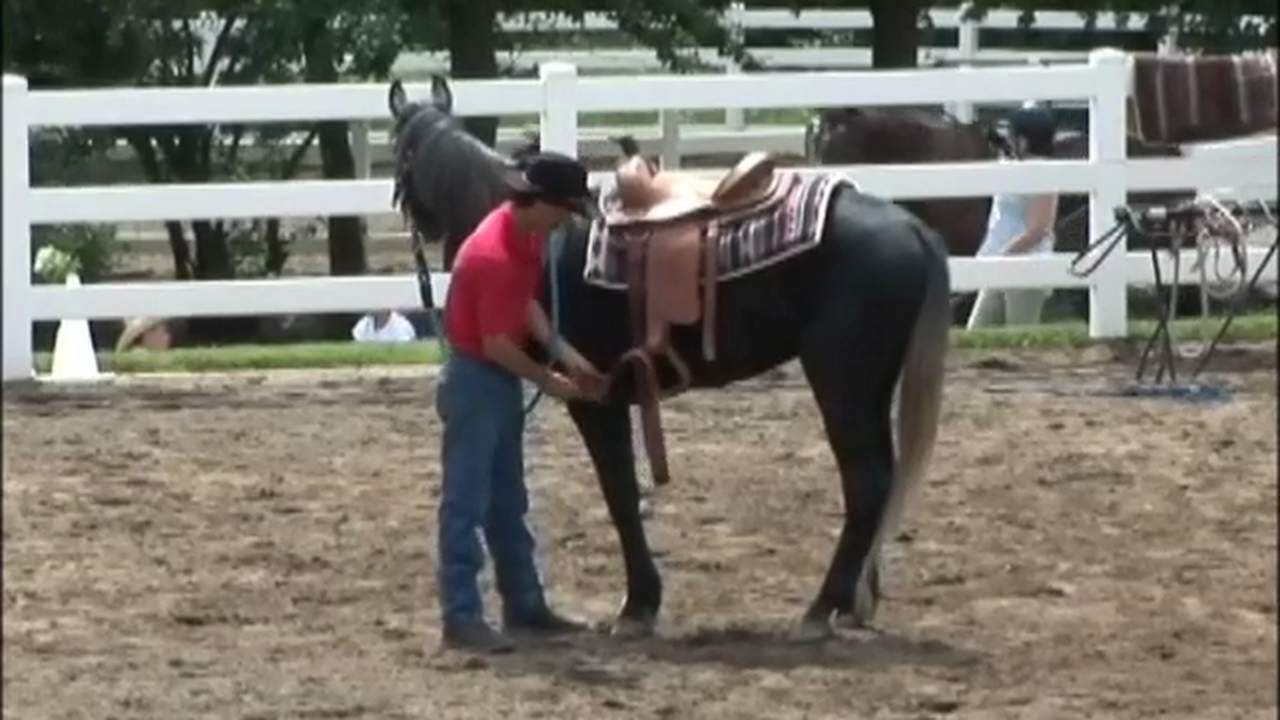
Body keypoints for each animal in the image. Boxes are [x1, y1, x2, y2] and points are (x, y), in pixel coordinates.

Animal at [389, 75, 953, 638]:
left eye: (398, 147)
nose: (422, 224)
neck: (543, 242)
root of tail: (913, 229)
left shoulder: (597, 400)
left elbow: (619, 492)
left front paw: (637, 604)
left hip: (842, 381)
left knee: (866, 481)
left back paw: (822, 608)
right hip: (870, 386)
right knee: (882, 480)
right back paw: (857, 600)